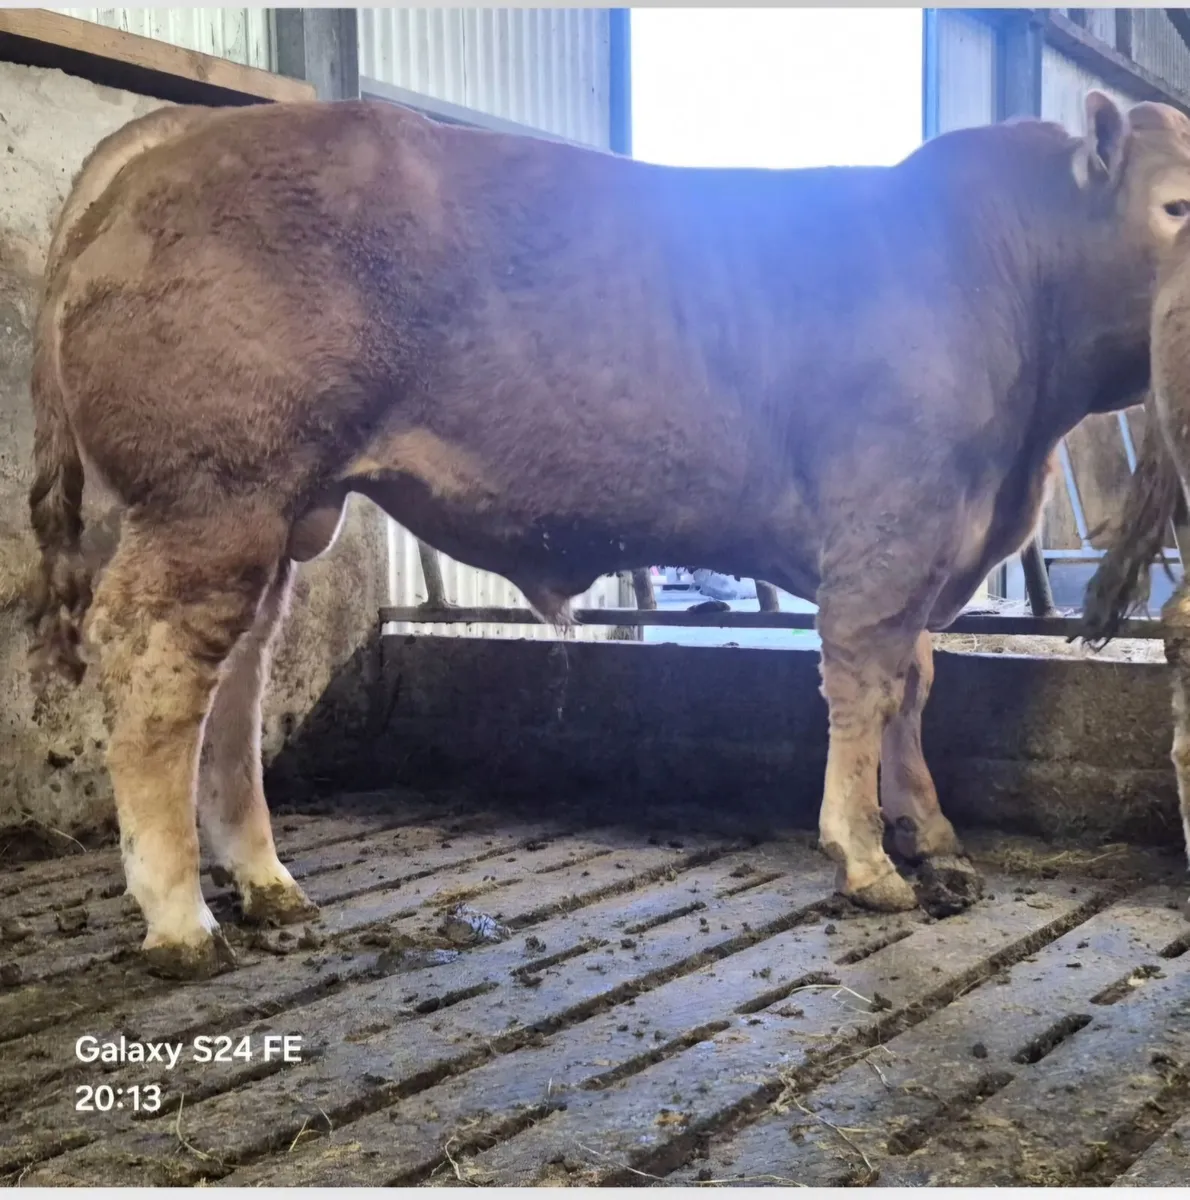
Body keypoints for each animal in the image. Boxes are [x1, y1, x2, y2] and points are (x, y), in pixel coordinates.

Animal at [26, 92, 1190, 979]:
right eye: (1175, 203)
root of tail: (181, 130)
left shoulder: (935, 547)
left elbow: (915, 685)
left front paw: (937, 844)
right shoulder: (884, 532)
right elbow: (864, 689)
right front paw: (865, 859)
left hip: (275, 510)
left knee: (237, 675)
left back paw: (265, 882)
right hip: (211, 493)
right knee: (157, 670)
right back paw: (181, 919)